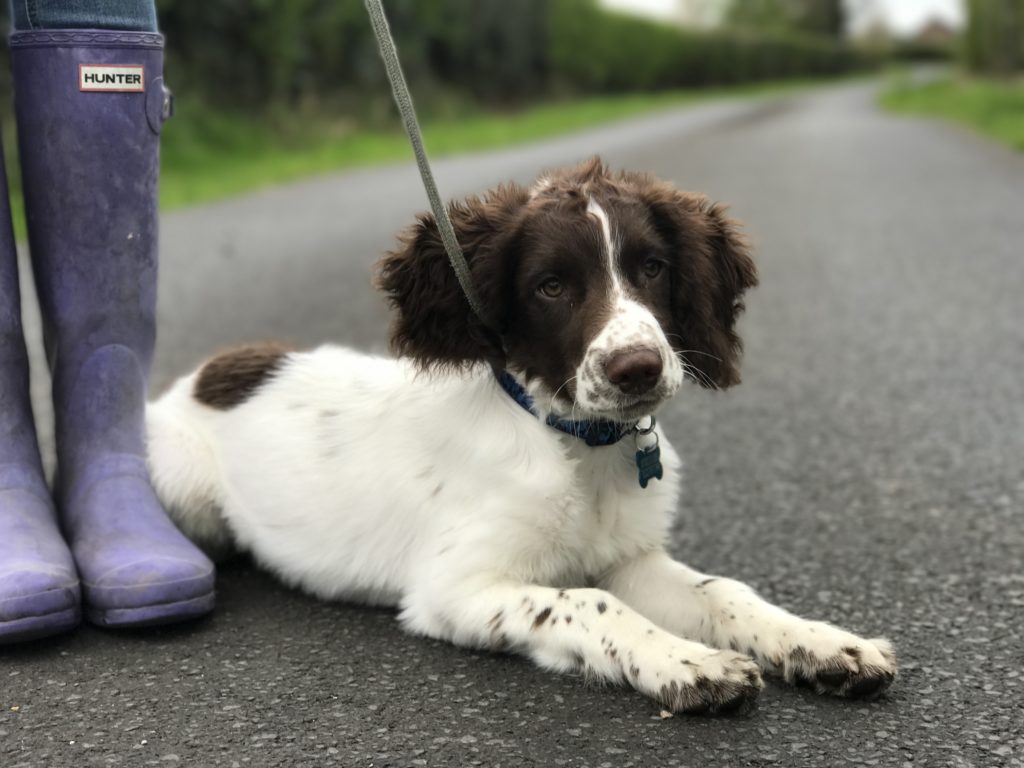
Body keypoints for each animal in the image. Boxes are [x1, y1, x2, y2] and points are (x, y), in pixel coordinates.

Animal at [146, 159, 897, 720]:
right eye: (551, 286)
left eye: (653, 267)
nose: (638, 369)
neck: (581, 447)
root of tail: (206, 372)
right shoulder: (454, 586)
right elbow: (589, 601)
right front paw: (688, 662)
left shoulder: (629, 559)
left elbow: (723, 591)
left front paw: (826, 645)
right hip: (184, 488)